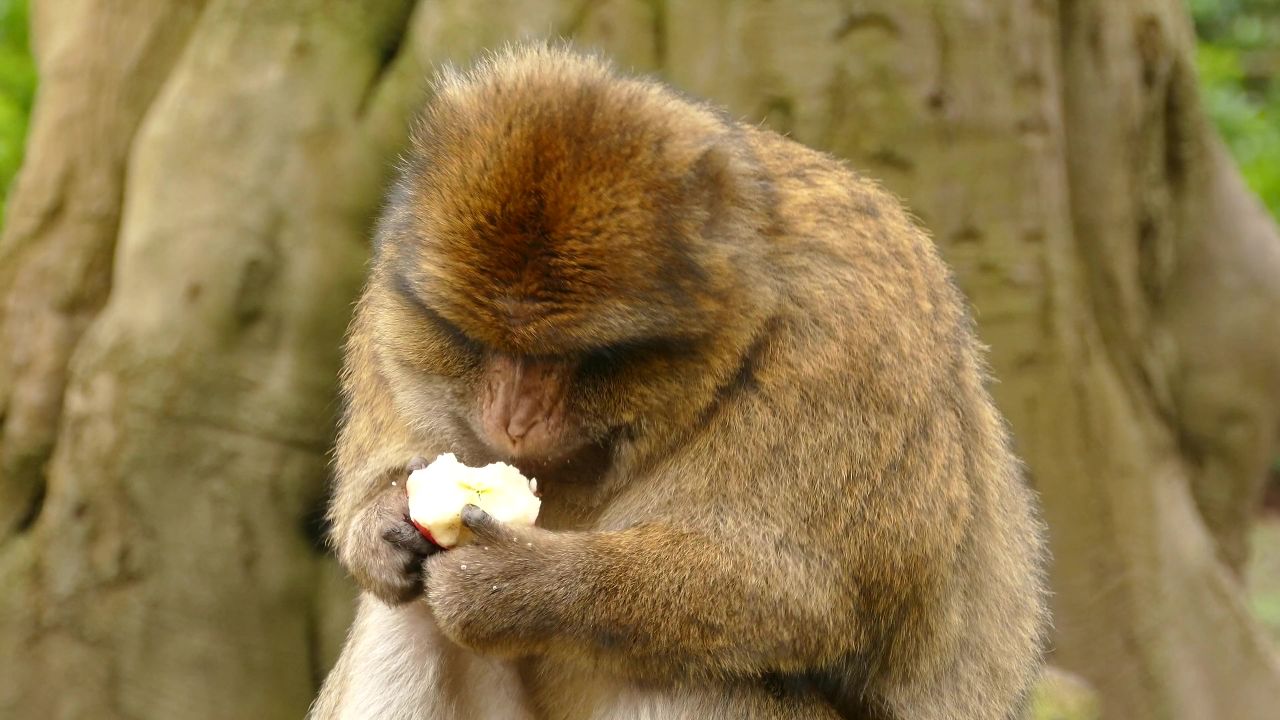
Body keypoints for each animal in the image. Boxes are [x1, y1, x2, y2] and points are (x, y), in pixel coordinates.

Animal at [310, 44, 1048, 720]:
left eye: (583, 357)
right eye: (477, 341)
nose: (512, 420)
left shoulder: (849, 340)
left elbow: (798, 594)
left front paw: (513, 583)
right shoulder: (386, 312)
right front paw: (381, 525)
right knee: (406, 615)